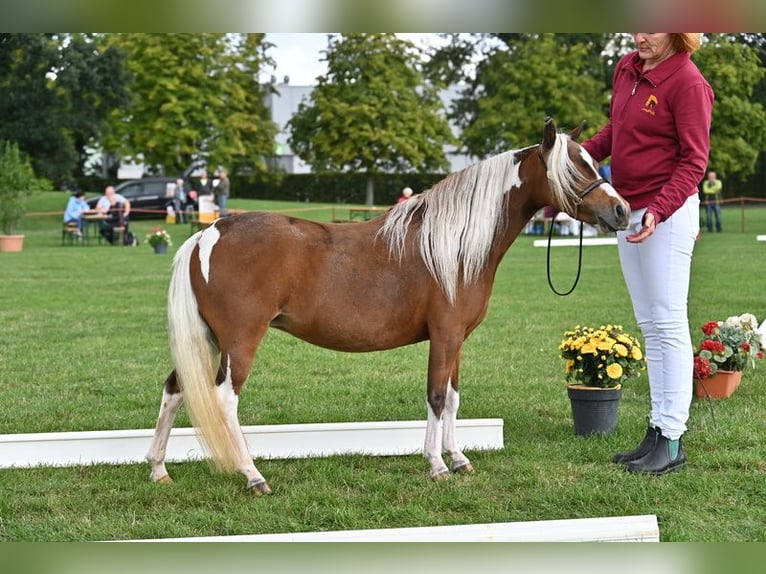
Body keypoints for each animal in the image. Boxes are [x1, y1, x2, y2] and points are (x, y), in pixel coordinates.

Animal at [147, 118, 632, 496]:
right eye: (573, 167)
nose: (622, 211)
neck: (454, 243)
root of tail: (208, 233)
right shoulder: (444, 336)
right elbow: (435, 397)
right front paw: (437, 465)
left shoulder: (457, 341)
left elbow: (453, 398)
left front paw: (459, 458)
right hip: (240, 341)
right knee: (223, 399)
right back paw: (252, 475)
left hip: (208, 338)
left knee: (174, 389)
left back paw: (158, 469)